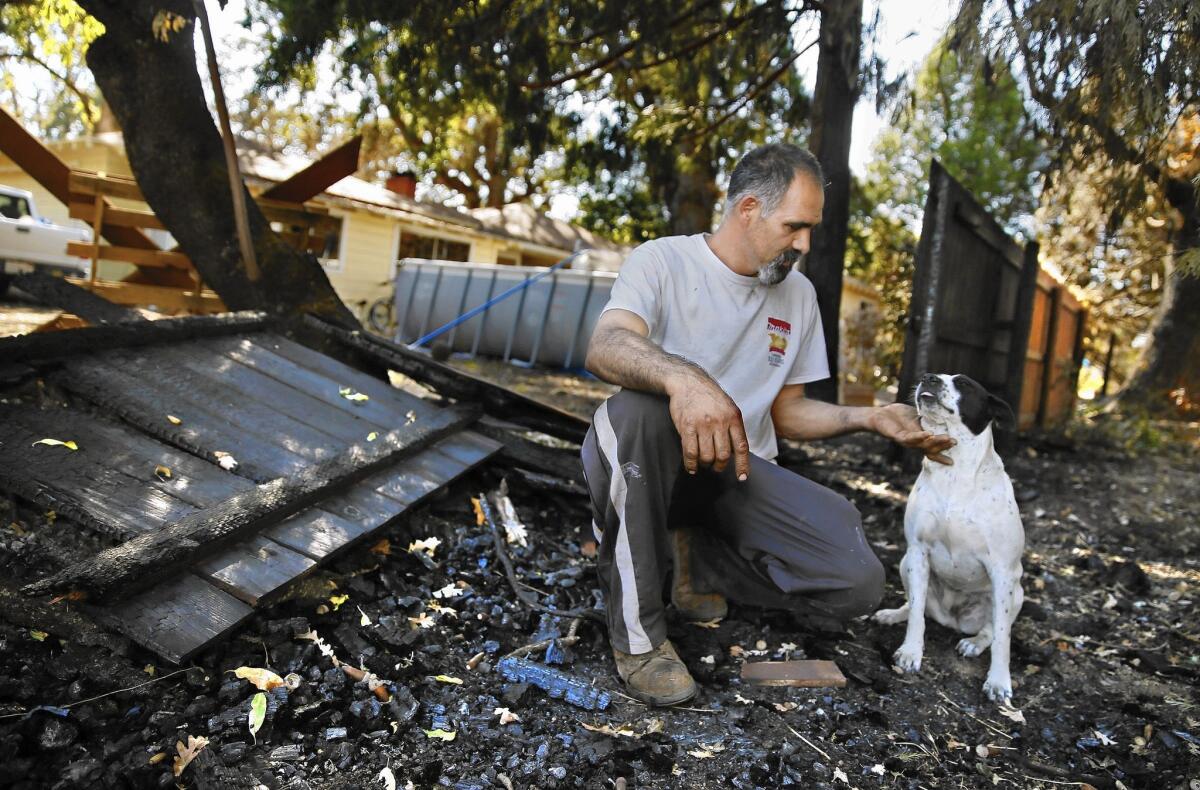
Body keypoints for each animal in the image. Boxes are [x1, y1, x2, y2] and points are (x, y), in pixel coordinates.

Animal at [878, 372, 1027, 696]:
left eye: (965, 384)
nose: (927, 377)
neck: (956, 470)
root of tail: (951, 619)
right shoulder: (918, 550)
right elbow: (916, 614)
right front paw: (911, 652)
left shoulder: (1002, 571)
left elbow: (1002, 637)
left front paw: (999, 680)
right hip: (905, 563)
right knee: (917, 607)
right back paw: (894, 614)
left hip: (1016, 593)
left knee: (992, 629)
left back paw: (974, 643)